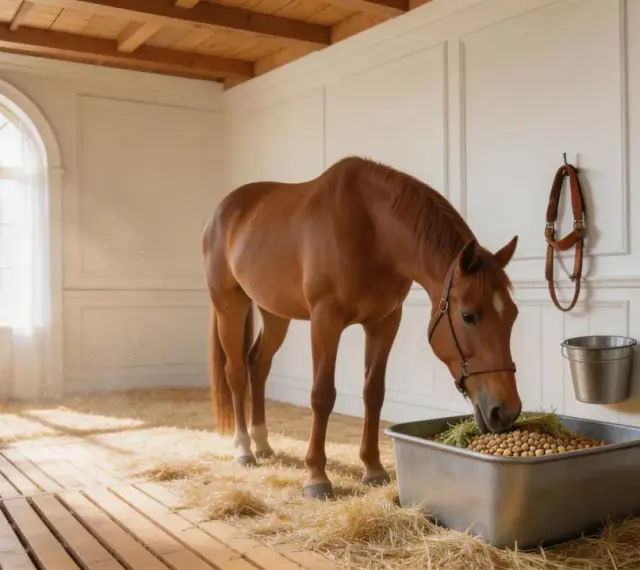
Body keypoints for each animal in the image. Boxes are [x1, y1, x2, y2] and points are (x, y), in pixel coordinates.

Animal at [202, 155, 522, 500]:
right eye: (468, 315)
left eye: (513, 315)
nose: (506, 411)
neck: (371, 229)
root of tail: (221, 212)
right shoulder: (325, 319)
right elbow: (322, 395)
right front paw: (316, 476)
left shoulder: (384, 322)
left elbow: (373, 392)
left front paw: (373, 468)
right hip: (229, 306)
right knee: (236, 372)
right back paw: (244, 449)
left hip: (275, 314)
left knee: (258, 365)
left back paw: (262, 442)